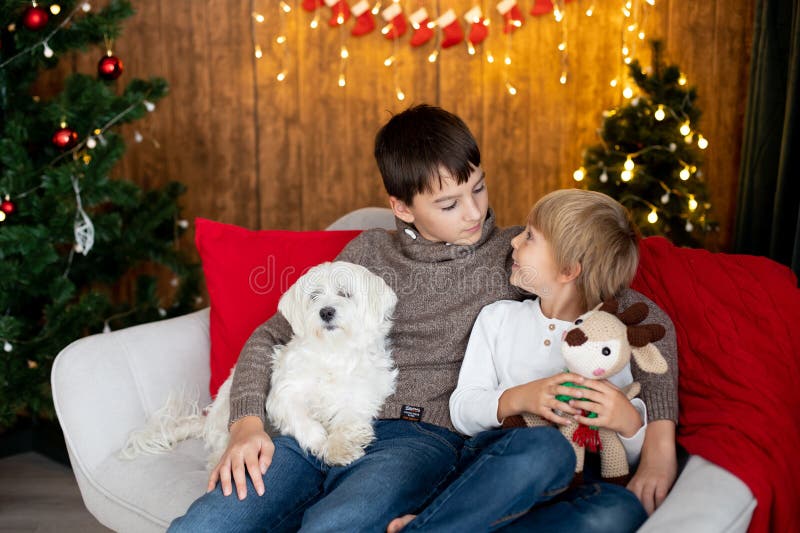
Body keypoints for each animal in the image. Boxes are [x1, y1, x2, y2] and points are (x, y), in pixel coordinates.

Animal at [121, 260, 396, 466]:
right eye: (314, 297)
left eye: (345, 293)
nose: (326, 311)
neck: (333, 351)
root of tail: (207, 421)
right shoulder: (284, 395)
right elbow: (303, 420)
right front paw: (320, 442)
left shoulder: (360, 396)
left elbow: (348, 419)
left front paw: (340, 447)